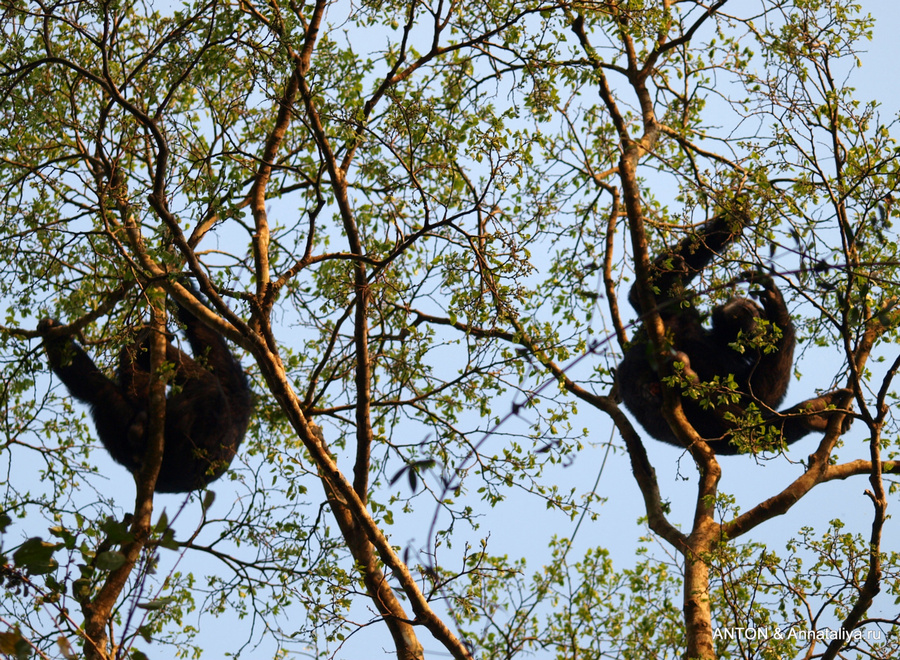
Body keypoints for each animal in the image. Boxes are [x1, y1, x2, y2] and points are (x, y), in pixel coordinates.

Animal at [620, 211, 852, 454]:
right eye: (755, 309)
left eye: (759, 317)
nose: (753, 311)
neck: (717, 339)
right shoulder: (679, 312)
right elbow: (642, 294)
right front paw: (737, 215)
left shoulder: (735, 366)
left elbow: (757, 396)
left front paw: (777, 308)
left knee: (746, 430)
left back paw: (813, 414)